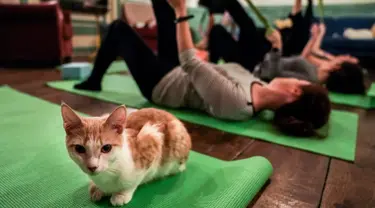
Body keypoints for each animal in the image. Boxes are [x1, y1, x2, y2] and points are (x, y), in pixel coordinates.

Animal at [61, 104, 192, 206]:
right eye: (79, 148)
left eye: (106, 148)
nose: (92, 167)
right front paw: (97, 188)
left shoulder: (152, 139)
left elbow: (134, 181)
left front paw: (121, 194)